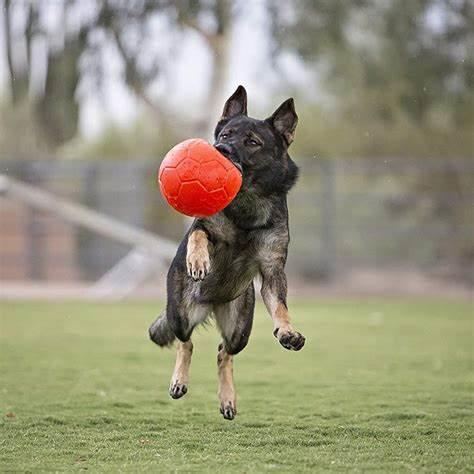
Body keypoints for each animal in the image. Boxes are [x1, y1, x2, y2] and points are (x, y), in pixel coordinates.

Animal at [148, 85, 306, 418]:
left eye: (252, 142)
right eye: (225, 134)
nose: (220, 149)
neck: (247, 205)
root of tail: (211, 302)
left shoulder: (272, 271)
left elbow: (281, 306)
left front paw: (287, 331)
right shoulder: (204, 226)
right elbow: (198, 233)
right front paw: (198, 260)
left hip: (240, 329)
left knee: (224, 352)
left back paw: (227, 400)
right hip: (180, 312)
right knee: (185, 342)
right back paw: (179, 381)